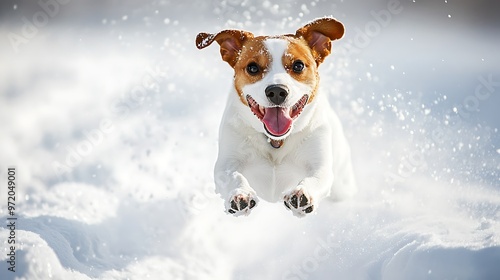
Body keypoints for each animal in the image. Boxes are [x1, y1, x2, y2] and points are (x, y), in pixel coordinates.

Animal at [195, 17, 356, 218]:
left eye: (298, 65)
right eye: (252, 67)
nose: (277, 91)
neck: (276, 141)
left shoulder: (320, 163)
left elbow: (316, 177)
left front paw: (301, 194)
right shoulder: (227, 162)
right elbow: (233, 176)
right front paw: (241, 194)